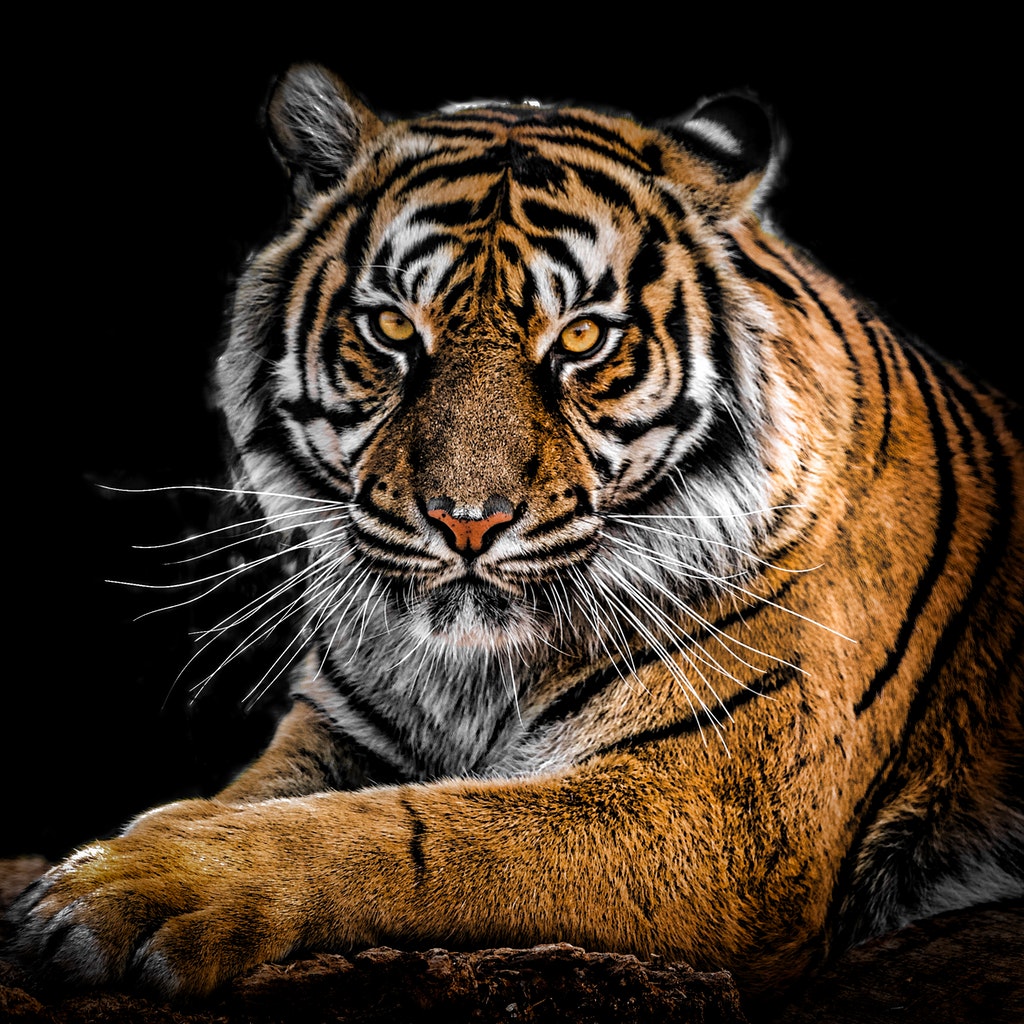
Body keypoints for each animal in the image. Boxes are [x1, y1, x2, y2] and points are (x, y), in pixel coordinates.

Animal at [7, 64, 1023, 1004]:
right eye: (391, 329)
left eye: (580, 339)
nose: (469, 521)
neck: (471, 675)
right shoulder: (337, 729)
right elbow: (254, 799)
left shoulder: (721, 812)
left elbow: (412, 832)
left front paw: (139, 887)